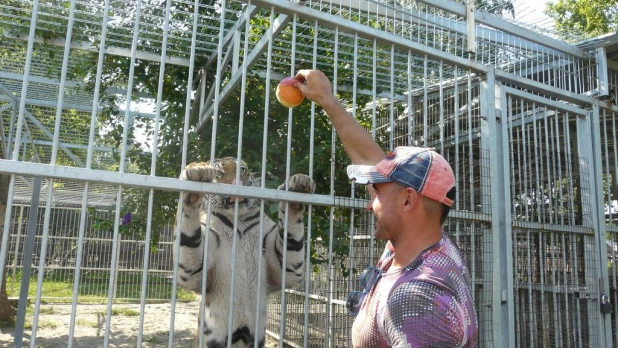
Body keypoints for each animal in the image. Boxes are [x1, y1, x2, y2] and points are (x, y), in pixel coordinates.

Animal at [174, 158, 316, 348]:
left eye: (241, 170)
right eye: (219, 173)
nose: (237, 183)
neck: (238, 220)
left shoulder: (283, 269)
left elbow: (291, 232)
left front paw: (299, 183)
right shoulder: (195, 274)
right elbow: (188, 229)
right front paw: (197, 171)